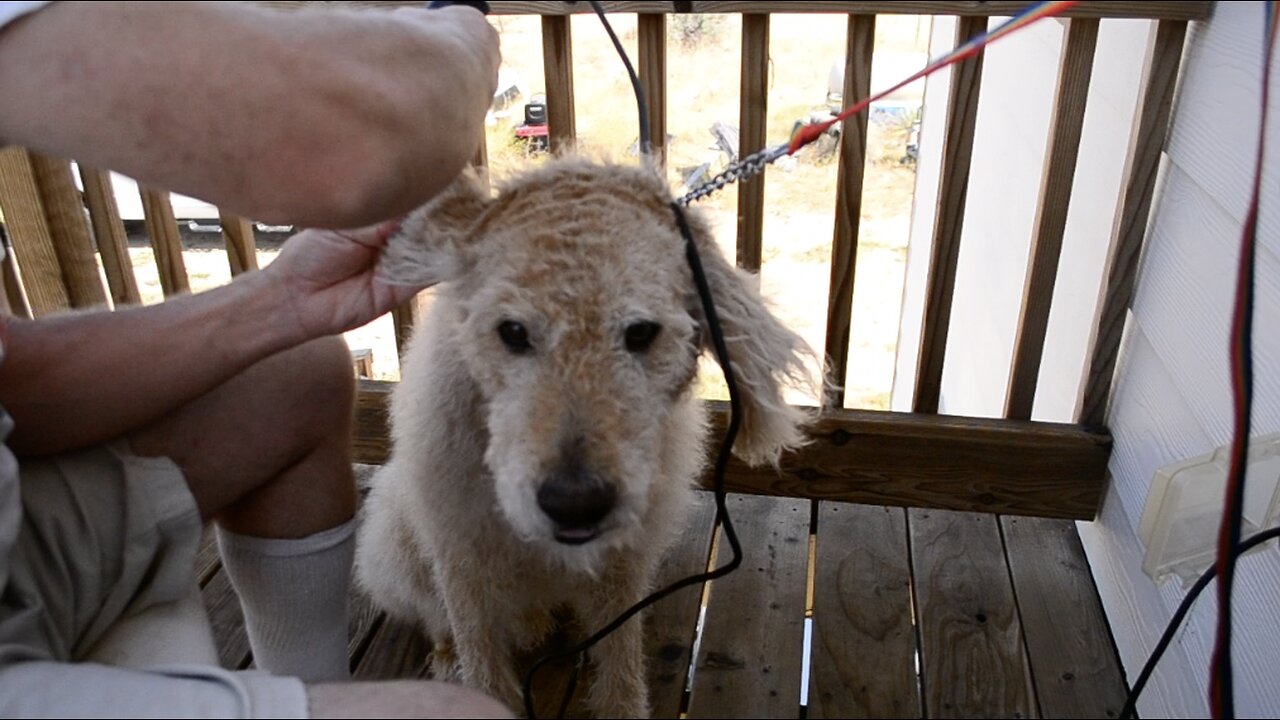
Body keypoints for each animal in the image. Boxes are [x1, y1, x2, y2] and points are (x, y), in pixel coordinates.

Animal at [353, 155, 808, 712]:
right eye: (512, 330)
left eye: (641, 331)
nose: (575, 503)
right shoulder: (461, 560)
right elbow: (483, 664)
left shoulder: (622, 571)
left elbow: (621, 669)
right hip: (396, 544)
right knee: (435, 616)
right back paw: (448, 656)